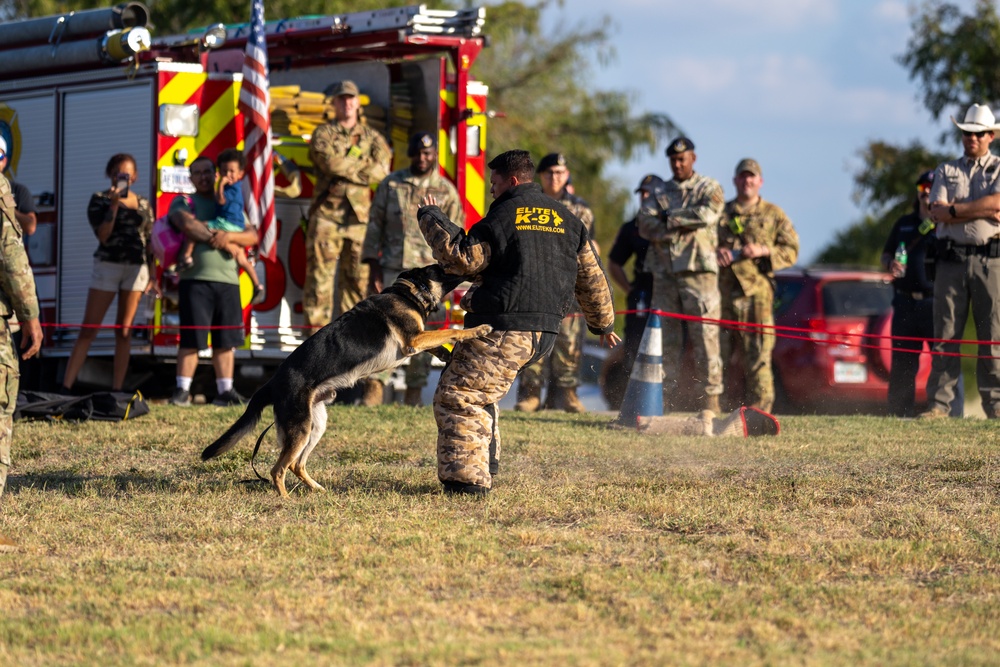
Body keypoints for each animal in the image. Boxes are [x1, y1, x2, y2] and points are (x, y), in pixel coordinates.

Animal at [201, 264, 490, 496]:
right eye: (442, 268)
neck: (407, 292)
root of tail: (272, 382)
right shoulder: (414, 340)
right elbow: (449, 330)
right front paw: (477, 329)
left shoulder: (416, 340)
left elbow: (439, 341)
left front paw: (446, 354)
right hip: (300, 427)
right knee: (278, 469)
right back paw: (284, 500)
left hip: (315, 425)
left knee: (295, 464)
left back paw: (316, 488)